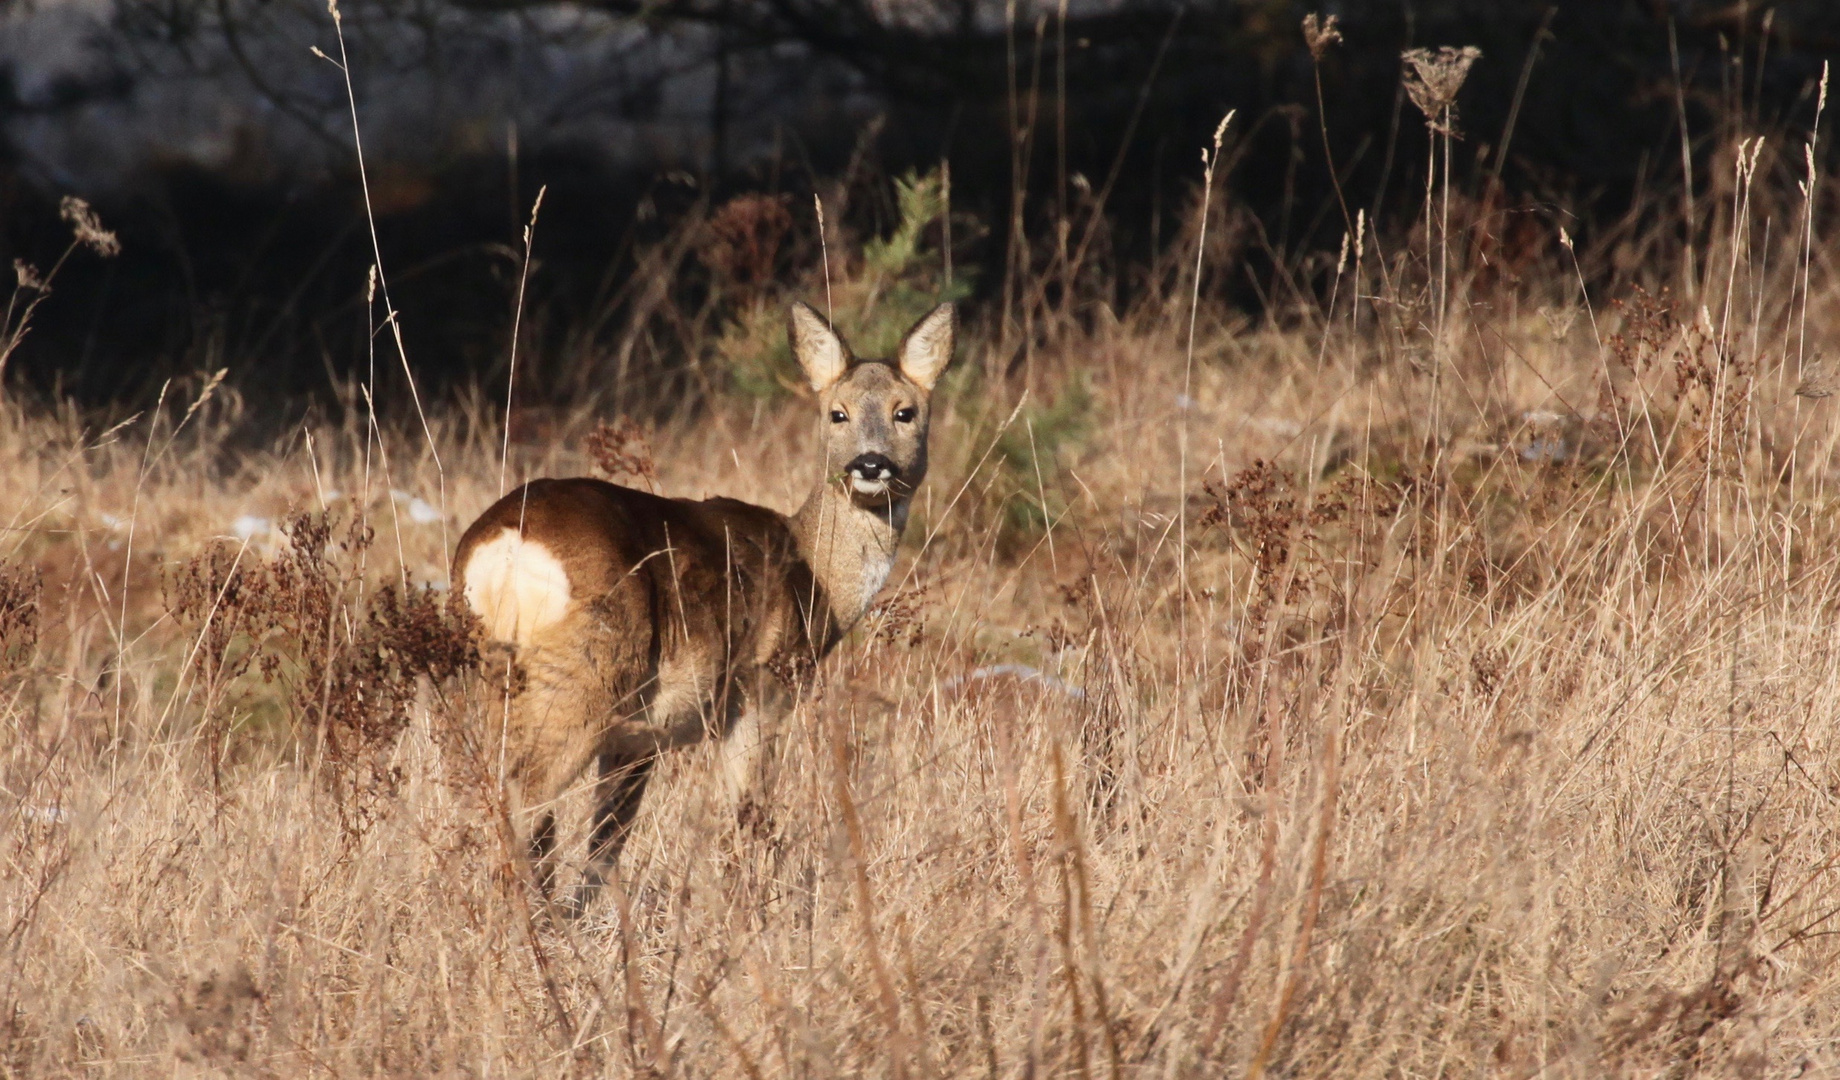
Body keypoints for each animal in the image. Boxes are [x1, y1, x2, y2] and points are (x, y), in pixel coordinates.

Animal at [454, 299, 956, 908]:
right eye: (837, 413)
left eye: (905, 412)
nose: (870, 464)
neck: (814, 574)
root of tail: (503, 546)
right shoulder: (762, 688)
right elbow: (743, 816)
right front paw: (747, 905)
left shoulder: (639, 737)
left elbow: (607, 841)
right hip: (584, 674)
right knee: (528, 790)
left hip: (501, 676)